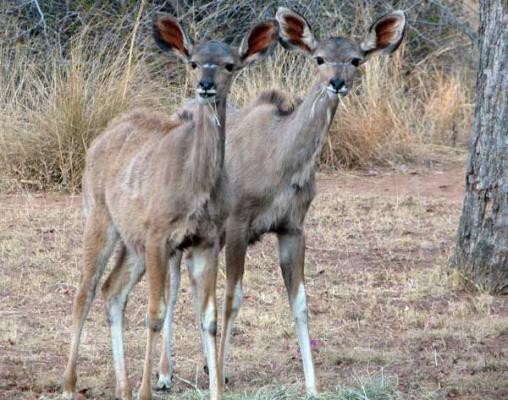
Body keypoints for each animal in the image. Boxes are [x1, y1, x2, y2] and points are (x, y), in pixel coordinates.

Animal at [61, 12, 280, 400]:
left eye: (229, 65)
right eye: (193, 62)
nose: (206, 85)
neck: (195, 182)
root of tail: (100, 139)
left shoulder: (206, 242)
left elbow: (209, 318)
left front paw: (215, 389)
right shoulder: (159, 239)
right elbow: (155, 313)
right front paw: (150, 388)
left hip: (132, 245)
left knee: (112, 291)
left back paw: (123, 387)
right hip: (101, 222)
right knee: (85, 292)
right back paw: (70, 385)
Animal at [157, 7, 406, 396]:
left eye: (355, 59)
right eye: (319, 58)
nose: (337, 83)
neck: (280, 158)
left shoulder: (292, 228)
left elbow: (300, 303)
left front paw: (313, 386)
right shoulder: (238, 224)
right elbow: (233, 299)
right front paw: (222, 374)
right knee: (171, 289)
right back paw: (165, 375)